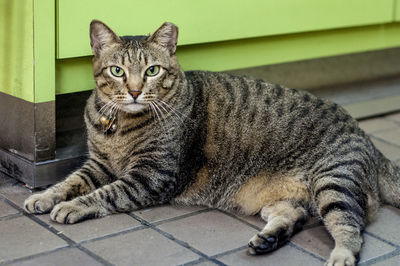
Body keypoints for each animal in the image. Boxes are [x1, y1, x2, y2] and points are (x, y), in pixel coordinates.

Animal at [24, 19, 400, 264]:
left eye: (152, 71)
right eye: (117, 71)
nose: (133, 91)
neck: (118, 125)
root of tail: (367, 140)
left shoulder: (152, 175)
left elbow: (105, 193)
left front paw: (73, 206)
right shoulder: (97, 164)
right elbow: (70, 181)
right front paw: (44, 196)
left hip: (334, 182)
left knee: (351, 227)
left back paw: (340, 255)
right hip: (284, 198)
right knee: (294, 215)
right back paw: (269, 239)